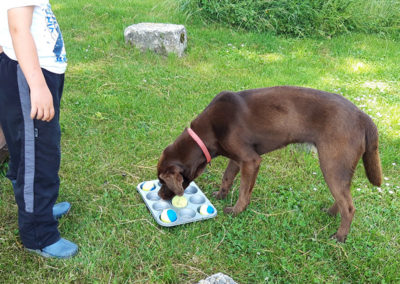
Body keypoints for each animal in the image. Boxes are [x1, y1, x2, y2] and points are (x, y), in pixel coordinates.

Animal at [156, 86, 382, 242]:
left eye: (162, 182)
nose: (159, 195)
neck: (206, 134)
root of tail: (364, 117)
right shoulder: (237, 159)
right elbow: (227, 177)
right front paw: (221, 195)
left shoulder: (251, 160)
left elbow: (244, 191)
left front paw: (236, 211)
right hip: (340, 168)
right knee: (344, 198)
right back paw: (331, 213)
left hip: (332, 164)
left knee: (349, 207)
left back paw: (340, 236)